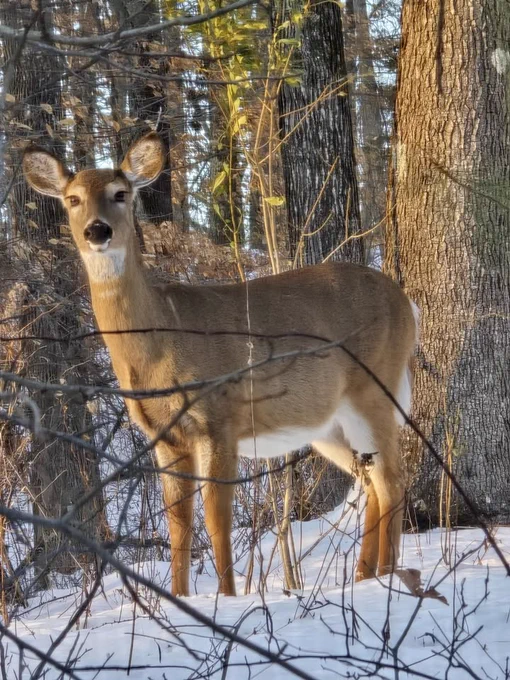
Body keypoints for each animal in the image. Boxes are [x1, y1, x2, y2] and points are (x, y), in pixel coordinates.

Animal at [23, 133, 419, 597]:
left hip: (374, 389)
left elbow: (216, 519)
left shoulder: (219, 418)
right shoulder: (165, 436)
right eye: (72, 199)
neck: (161, 339)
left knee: (393, 479)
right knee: (371, 482)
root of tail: (406, 303)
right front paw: (178, 597)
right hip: (329, 425)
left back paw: (389, 578)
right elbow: (179, 524)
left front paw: (227, 597)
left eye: (120, 194)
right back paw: (364, 577)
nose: (97, 230)